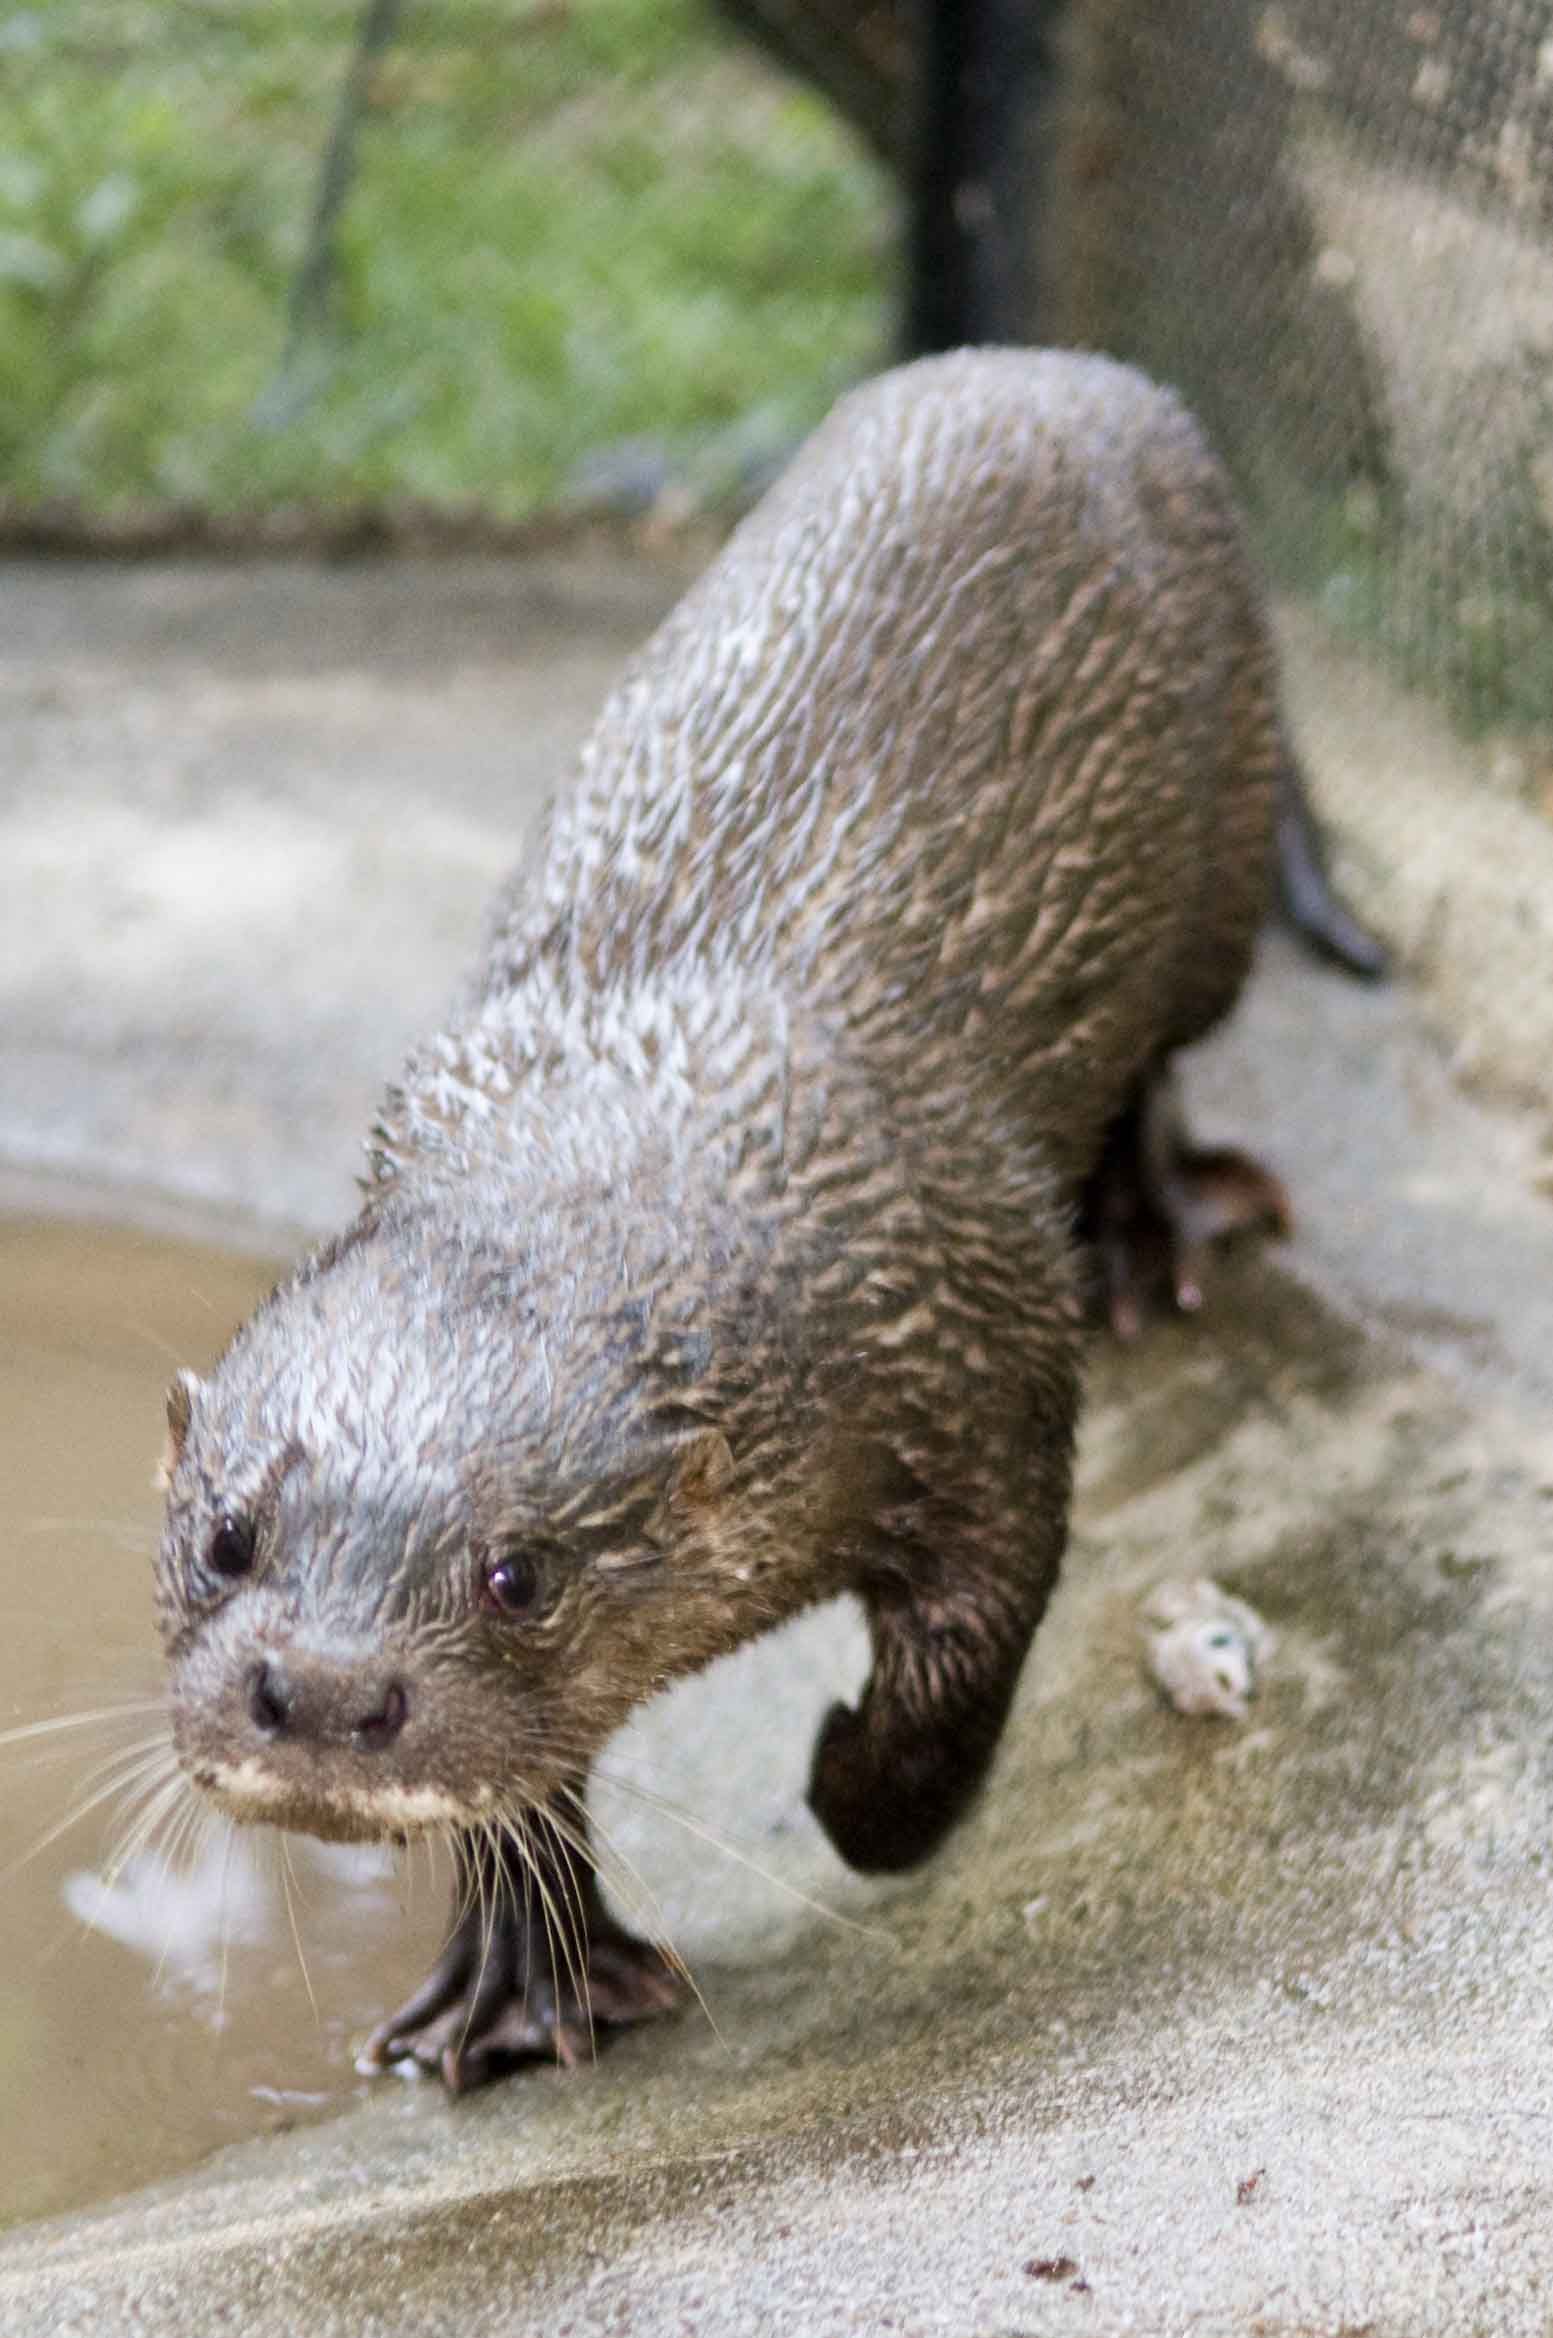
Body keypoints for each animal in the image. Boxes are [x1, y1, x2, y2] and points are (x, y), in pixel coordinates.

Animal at [157, 341, 1384, 2085]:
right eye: (226, 1534)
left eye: (519, 1574)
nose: (322, 1693)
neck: (660, 1094)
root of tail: (1067, 366)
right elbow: (530, 1785)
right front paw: (521, 1979)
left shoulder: (985, 1355)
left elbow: (969, 1651)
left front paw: (851, 1784)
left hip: (1215, 862)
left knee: (1163, 1049)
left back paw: (1153, 1230)